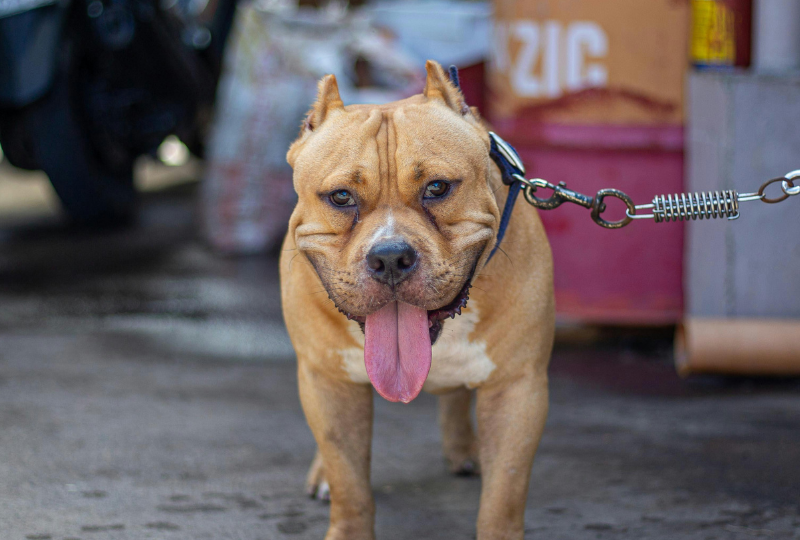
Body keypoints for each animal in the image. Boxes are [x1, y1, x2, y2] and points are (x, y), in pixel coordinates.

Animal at [278, 61, 552, 536]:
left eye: (438, 188)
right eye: (341, 197)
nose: (390, 257)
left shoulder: (518, 389)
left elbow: (504, 495)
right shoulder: (327, 382)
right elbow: (349, 481)